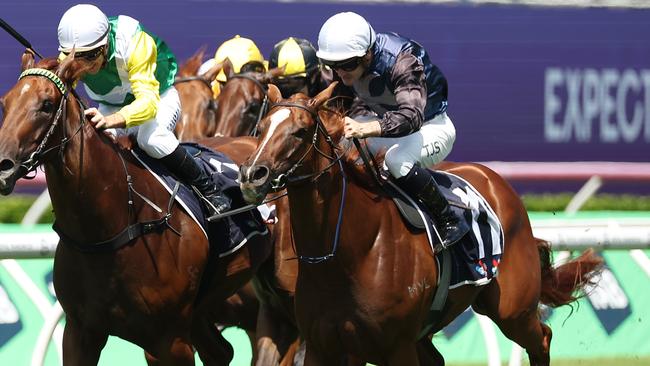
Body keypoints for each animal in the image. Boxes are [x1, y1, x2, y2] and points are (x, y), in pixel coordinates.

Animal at [0, 51, 270, 366]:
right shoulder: (80, 332)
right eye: (5, 102)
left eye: (46, 104)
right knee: (221, 351)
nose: (3, 165)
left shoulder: (169, 341)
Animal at [238, 83, 604, 366]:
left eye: (300, 131)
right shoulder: (322, 346)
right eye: (262, 127)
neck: (348, 254)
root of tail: (496, 181)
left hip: (513, 309)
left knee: (541, 338)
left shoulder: (394, 347)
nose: (252, 174)